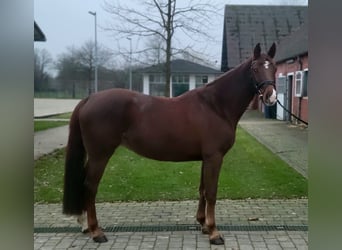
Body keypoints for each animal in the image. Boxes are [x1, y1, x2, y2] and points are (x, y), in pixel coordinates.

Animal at [63, 43, 278, 244]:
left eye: (274, 67)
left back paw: (84, 225)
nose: (271, 96)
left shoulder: (206, 158)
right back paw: (96, 231)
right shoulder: (214, 157)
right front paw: (214, 232)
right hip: (100, 155)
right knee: (90, 186)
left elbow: (202, 190)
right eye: (255, 68)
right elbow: (212, 193)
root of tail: (89, 98)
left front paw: (203, 224)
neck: (215, 105)